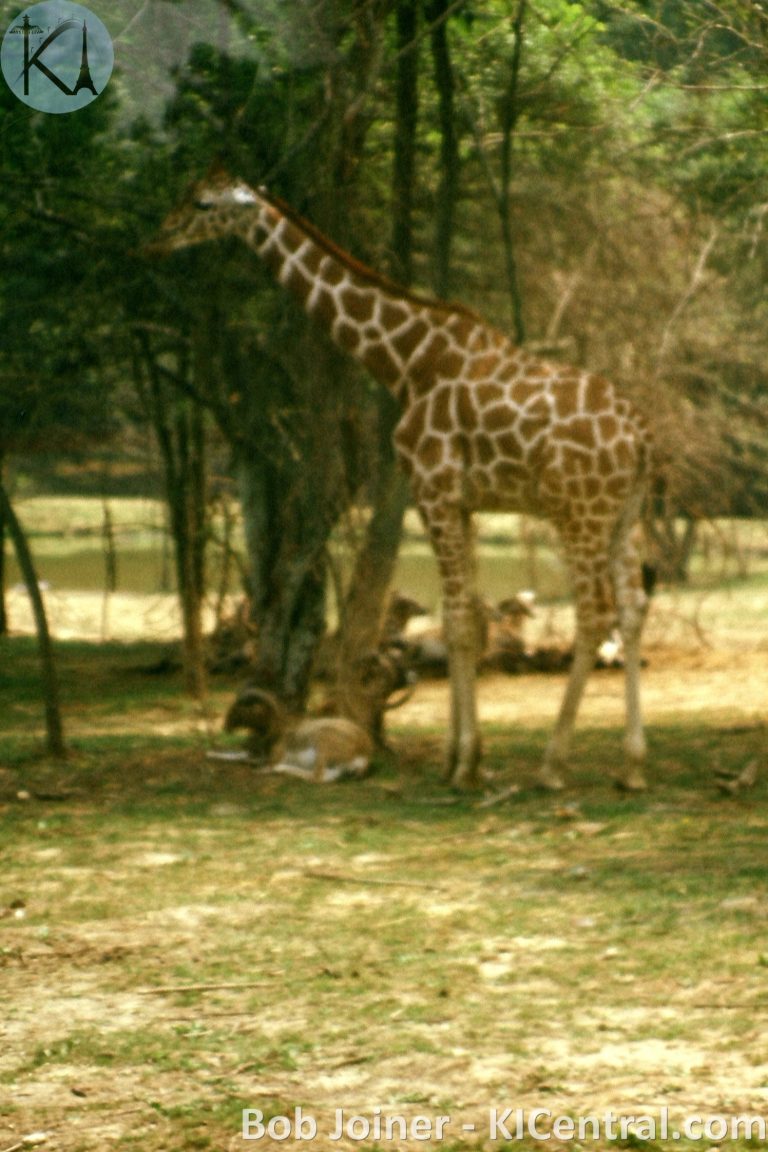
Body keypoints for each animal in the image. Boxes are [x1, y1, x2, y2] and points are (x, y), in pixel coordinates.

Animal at [152, 171, 654, 792]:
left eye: (202, 203)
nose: (159, 236)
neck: (407, 360)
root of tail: (641, 439)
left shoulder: (433, 490)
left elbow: (458, 623)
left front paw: (465, 763)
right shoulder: (462, 502)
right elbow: (466, 619)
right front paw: (458, 759)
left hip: (578, 513)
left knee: (594, 614)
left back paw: (553, 765)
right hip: (624, 517)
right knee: (633, 607)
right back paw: (633, 766)